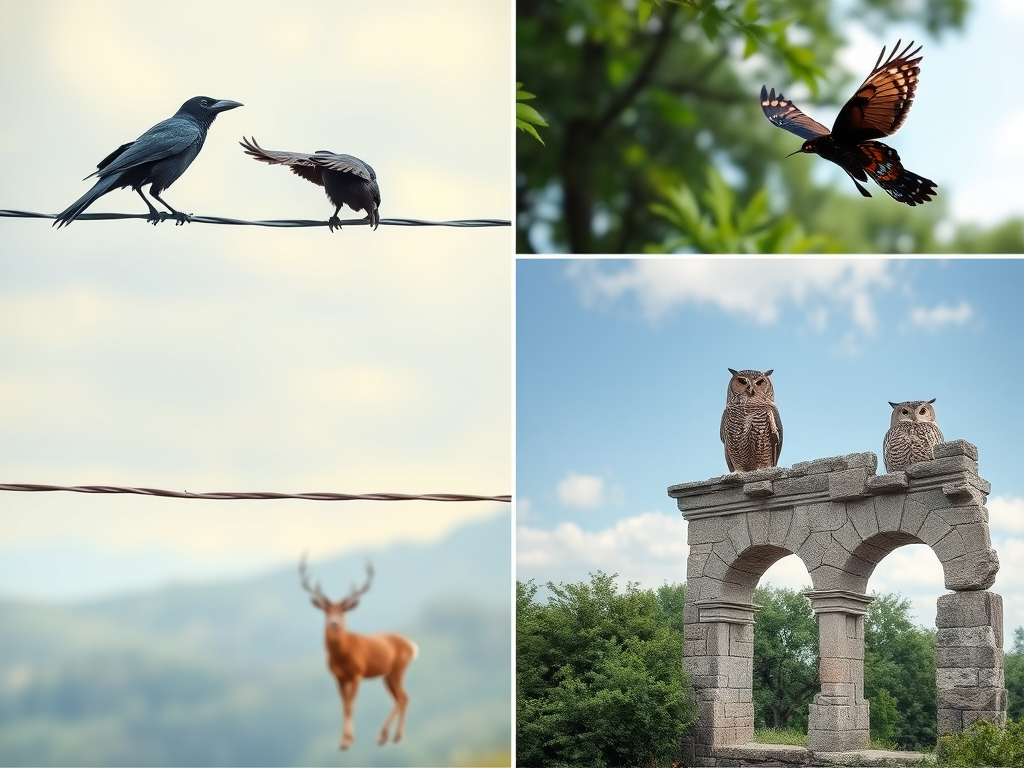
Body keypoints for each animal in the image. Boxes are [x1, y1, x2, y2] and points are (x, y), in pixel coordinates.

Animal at [299, 554, 418, 750]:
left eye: (343, 611)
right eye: (326, 610)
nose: (334, 623)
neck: (342, 654)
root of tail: (412, 646)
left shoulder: (357, 673)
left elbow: (351, 706)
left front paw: (347, 742)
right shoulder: (339, 678)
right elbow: (344, 706)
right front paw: (344, 741)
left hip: (398, 669)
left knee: (401, 698)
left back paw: (384, 736)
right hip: (387, 676)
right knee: (403, 698)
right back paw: (395, 736)